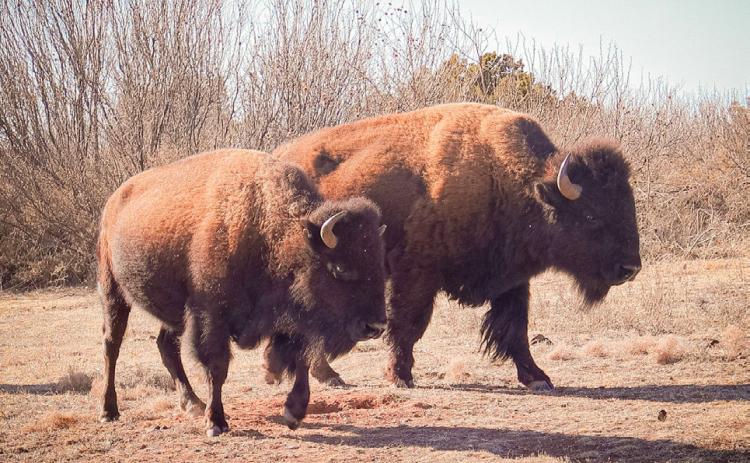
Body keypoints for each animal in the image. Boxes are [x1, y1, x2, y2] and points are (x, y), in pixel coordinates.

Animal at [97, 149, 387, 436]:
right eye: (340, 267)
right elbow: (217, 367)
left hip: (174, 313)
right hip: (113, 291)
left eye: (378, 265)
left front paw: (293, 412)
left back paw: (193, 404)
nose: (376, 326)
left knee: (166, 345)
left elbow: (300, 360)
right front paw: (216, 422)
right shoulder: (211, 316)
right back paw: (109, 411)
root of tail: (113, 201)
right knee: (112, 345)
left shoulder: (292, 323)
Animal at [271, 103, 642, 390]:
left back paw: (325, 375)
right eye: (592, 214)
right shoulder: (416, 274)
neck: (508, 179)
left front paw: (538, 377)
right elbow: (408, 324)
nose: (630, 268)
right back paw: (328, 375)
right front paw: (400, 376)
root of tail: (279, 157)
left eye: (628, 205)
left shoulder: (512, 279)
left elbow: (515, 329)